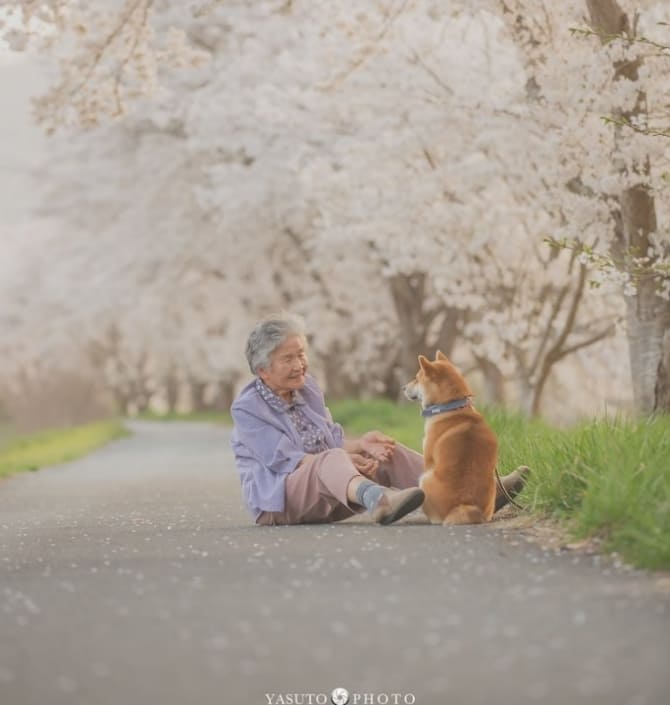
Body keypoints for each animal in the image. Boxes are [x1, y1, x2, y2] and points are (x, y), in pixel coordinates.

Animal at [404, 350, 498, 524]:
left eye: (417, 378)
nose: (403, 387)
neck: (451, 407)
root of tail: (463, 505)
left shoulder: (428, 459)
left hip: (424, 479)